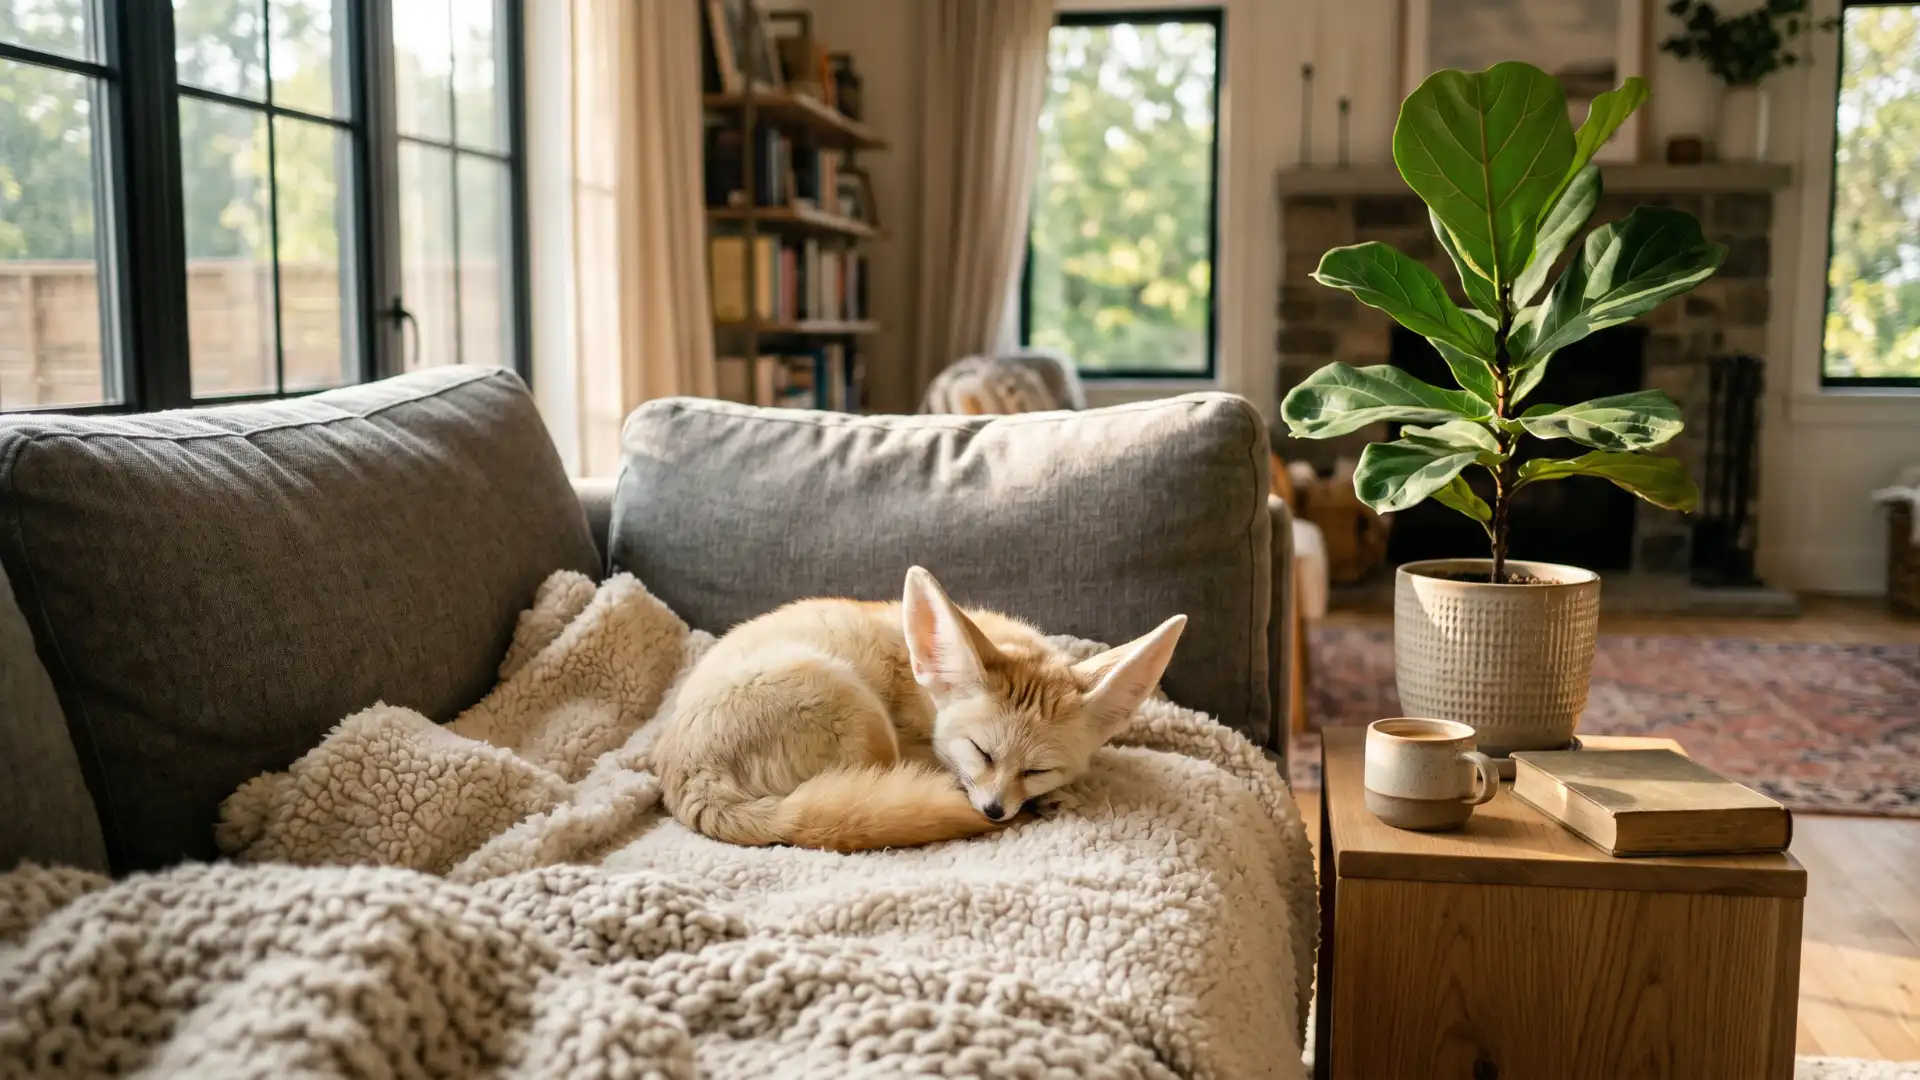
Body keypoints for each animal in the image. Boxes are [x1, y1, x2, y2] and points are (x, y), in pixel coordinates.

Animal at [650, 566, 1186, 853]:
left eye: (1036, 769)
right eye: (981, 752)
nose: (994, 812)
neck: (923, 690)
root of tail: (689, 781)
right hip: (856, 707)